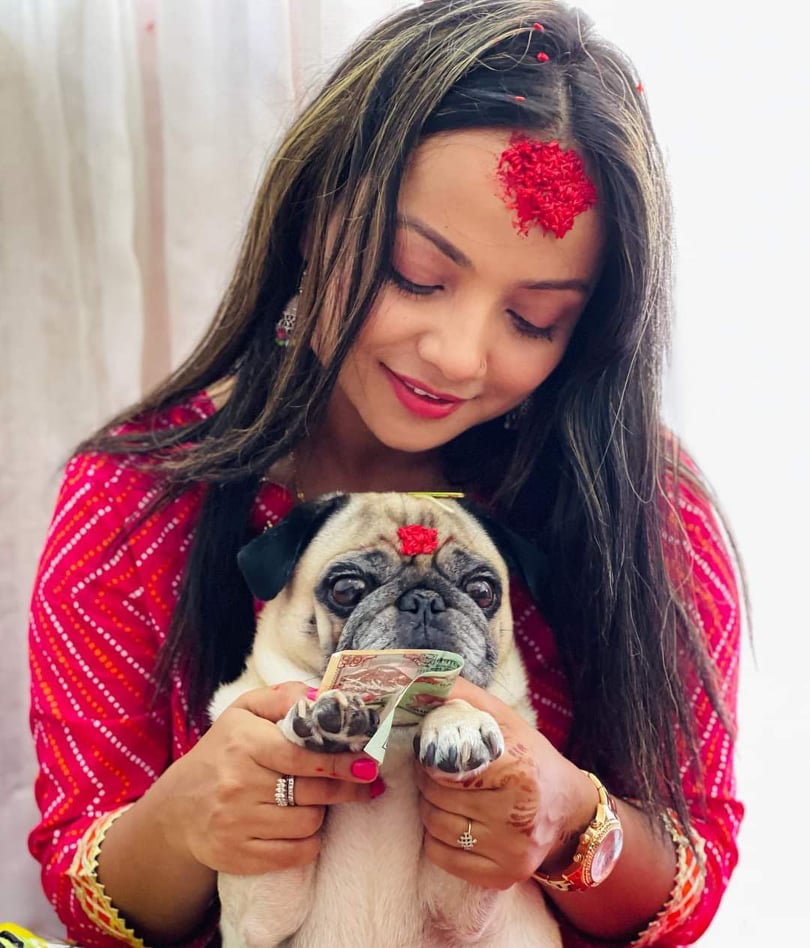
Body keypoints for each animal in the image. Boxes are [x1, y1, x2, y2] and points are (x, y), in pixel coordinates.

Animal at [209, 492, 561, 948]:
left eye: (482, 591)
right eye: (346, 589)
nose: (425, 599)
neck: (391, 737)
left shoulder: (466, 901)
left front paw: (458, 723)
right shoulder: (258, 911)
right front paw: (329, 715)